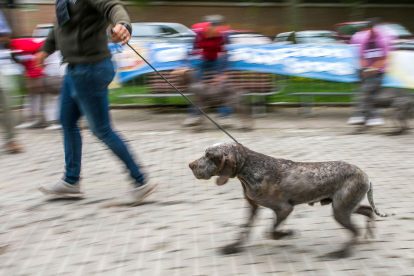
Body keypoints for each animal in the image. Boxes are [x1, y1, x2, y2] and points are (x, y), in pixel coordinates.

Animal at [189, 142, 392, 258]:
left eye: (209, 156)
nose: (190, 165)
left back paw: (341, 253)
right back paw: (368, 234)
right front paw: (233, 247)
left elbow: (271, 232)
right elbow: (244, 231)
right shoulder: (253, 207)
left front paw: (287, 233)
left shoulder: (284, 209)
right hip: (344, 206)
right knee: (367, 211)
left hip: (341, 209)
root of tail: (366, 177)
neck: (250, 168)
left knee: (355, 231)